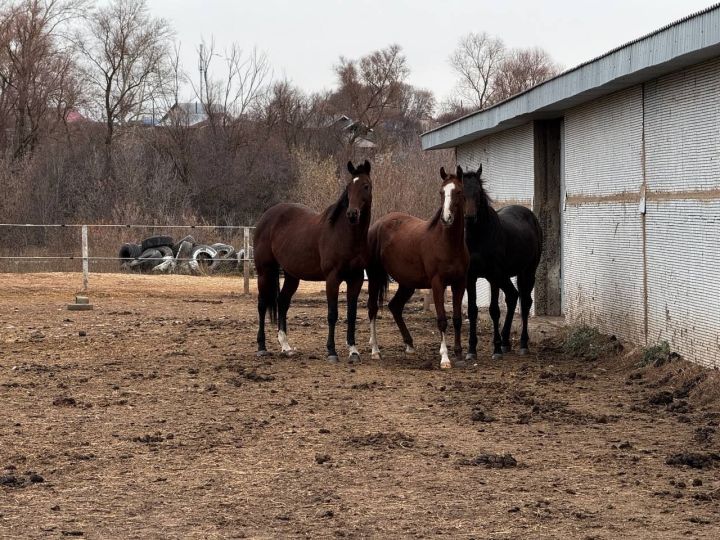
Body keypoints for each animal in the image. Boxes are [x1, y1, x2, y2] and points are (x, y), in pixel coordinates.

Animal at [253, 160, 374, 362]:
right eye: (348, 187)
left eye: (366, 186)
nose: (352, 214)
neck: (345, 235)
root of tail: (265, 218)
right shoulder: (332, 278)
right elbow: (332, 314)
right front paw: (331, 351)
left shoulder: (356, 279)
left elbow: (352, 314)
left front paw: (353, 351)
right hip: (265, 272)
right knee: (262, 305)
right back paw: (261, 347)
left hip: (291, 276)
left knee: (282, 302)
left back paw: (286, 347)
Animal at [368, 167, 470, 370]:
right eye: (441, 192)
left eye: (458, 191)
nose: (446, 218)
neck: (447, 244)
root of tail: (378, 224)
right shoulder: (438, 284)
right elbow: (442, 320)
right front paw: (445, 358)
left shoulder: (459, 283)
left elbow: (457, 319)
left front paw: (459, 354)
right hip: (375, 277)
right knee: (373, 309)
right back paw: (375, 351)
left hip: (407, 284)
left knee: (395, 306)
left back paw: (409, 345)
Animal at [464, 165, 544, 358]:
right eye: (460, 192)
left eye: (478, 192)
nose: (470, 217)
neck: (479, 237)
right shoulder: (471, 277)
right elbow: (472, 310)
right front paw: (471, 350)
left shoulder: (493, 276)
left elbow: (494, 310)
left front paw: (496, 349)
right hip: (505, 276)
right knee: (512, 296)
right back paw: (506, 342)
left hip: (527, 272)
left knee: (525, 302)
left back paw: (522, 344)